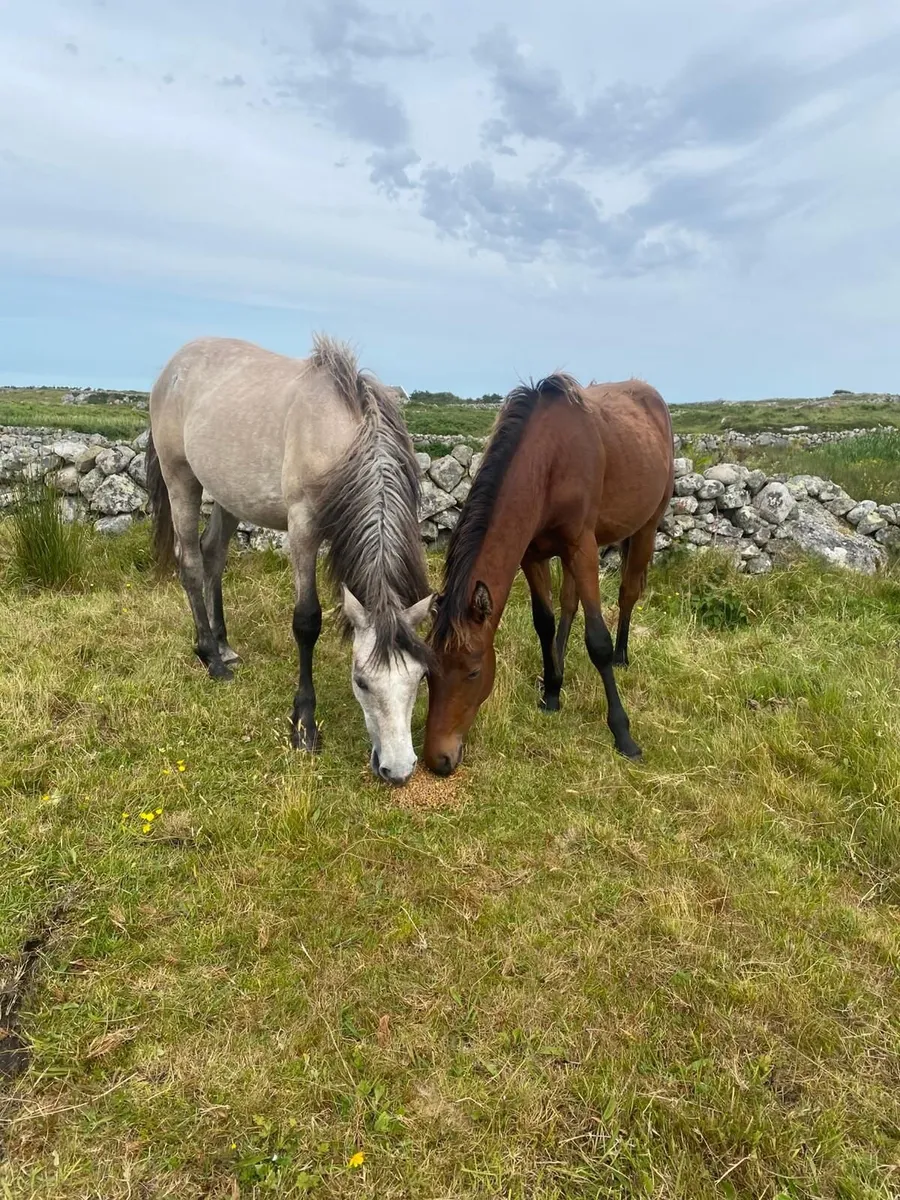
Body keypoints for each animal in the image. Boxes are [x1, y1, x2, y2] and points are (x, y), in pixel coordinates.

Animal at [146, 334, 434, 785]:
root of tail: (173, 366)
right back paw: (211, 658)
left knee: (213, 556)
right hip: (182, 481)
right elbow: (307, 622)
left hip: (229, 496)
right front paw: (304, 724)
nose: (398, 769)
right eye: (361, 682)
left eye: (420, 678)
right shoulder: (302, 531)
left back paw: (224, 645)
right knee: (190, 562)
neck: (342, 437)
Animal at [423, 373, 674, 775]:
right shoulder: (533, 555)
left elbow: (597, 641)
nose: (439, 760)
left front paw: (623, 734)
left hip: (645, 528)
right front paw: (553, 690)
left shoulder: (582, 547)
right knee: (569, 605)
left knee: (628, 593)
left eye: (474, 672)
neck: (550, 460)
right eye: (428, 672)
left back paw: (622, 655)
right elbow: (544, 621)